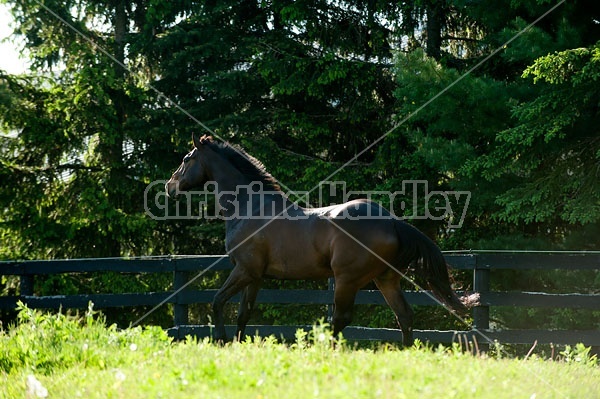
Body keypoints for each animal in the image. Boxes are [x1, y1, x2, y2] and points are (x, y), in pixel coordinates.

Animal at [166, 135, 476, 346]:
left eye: (186, 159)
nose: (170, 186)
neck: (248, 206)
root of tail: (392, 221)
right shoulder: (255, 276)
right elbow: (244, 313)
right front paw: (238, 345)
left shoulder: (244, 270)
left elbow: (217, 302)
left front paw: (221, 340)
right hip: (386, 279)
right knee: (404, 316)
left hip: (347, 279)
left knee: (341, 319)